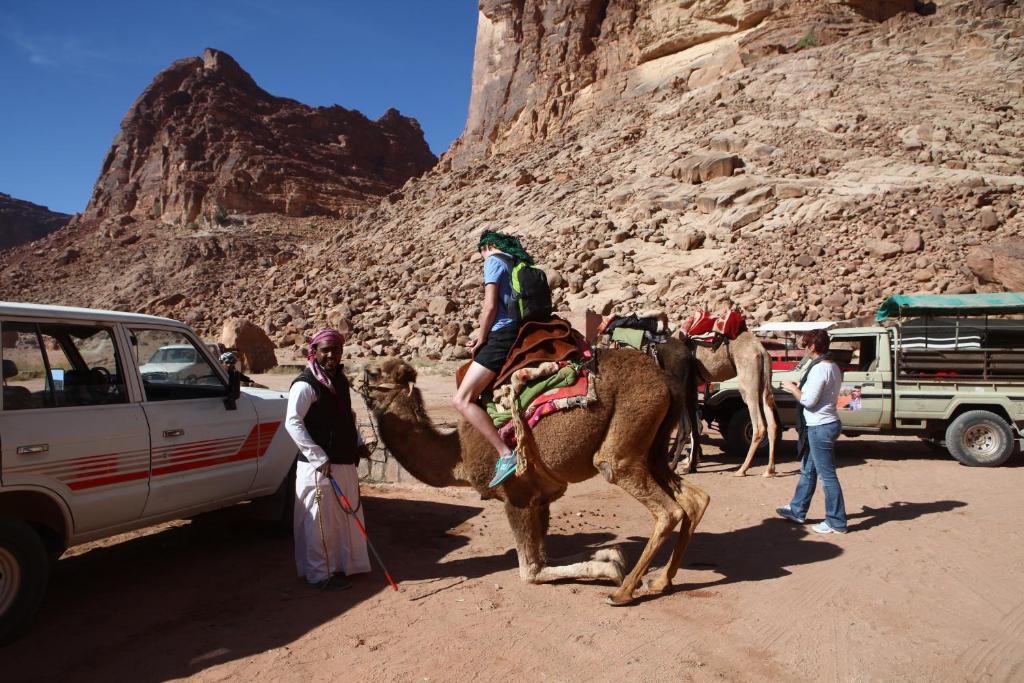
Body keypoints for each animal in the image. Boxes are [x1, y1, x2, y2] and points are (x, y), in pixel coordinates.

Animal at [362, 350, 712, 606]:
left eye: (376, 372)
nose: (361, 373)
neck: (457, 456)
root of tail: (666, 382)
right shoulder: (542, 498)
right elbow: (547, 556)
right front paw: (610, 555)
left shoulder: (516, 495)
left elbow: (531, 570)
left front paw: (608, 568)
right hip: (654, 448)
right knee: (695, 498)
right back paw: (661, 580)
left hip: (626, 440)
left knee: (663, 506)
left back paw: (622, 593)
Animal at [659, 331, 778, 475]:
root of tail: (761, 350)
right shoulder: (691, 389)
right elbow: (695, 427)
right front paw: (690, 463)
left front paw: (679, 462)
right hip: (764, 381)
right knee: (772, 421)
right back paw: (769, 470)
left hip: (748, 383)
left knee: (759, 425)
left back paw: (742, 469)